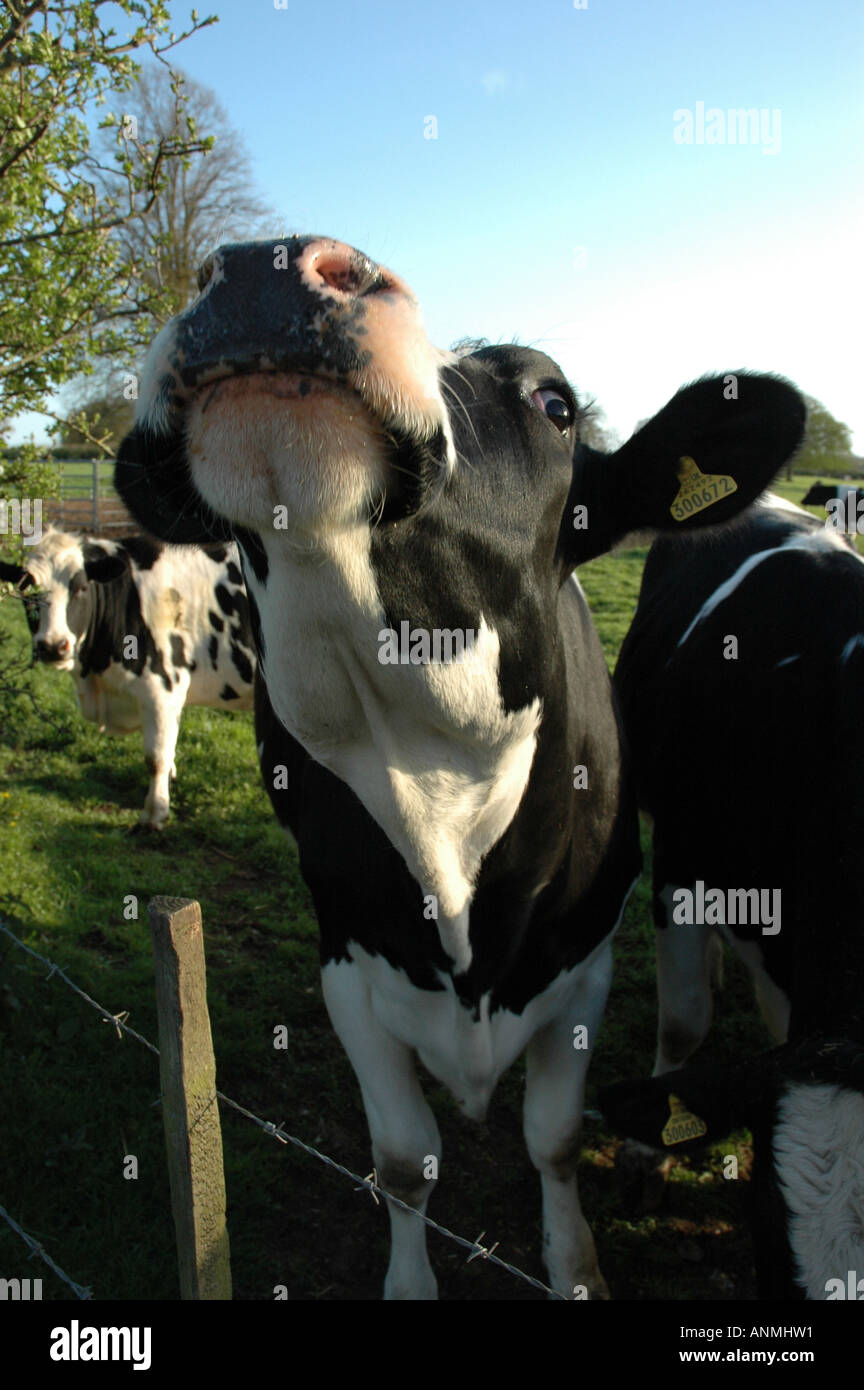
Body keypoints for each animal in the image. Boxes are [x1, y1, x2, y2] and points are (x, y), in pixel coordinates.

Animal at [0, 528, 255, 827]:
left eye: (81, 588)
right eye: (26, 590)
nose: (53, 645)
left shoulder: (162, 689)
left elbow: (156, 757)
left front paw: (154, 814)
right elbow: (167, 753)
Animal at [112, 234, 805, 1299]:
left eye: (555, 404)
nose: (264, 263)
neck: (436, 796)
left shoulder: (584, 965)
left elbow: (554, 1139)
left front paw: (574, 1267)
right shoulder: (348, 965)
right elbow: (405, 1159)